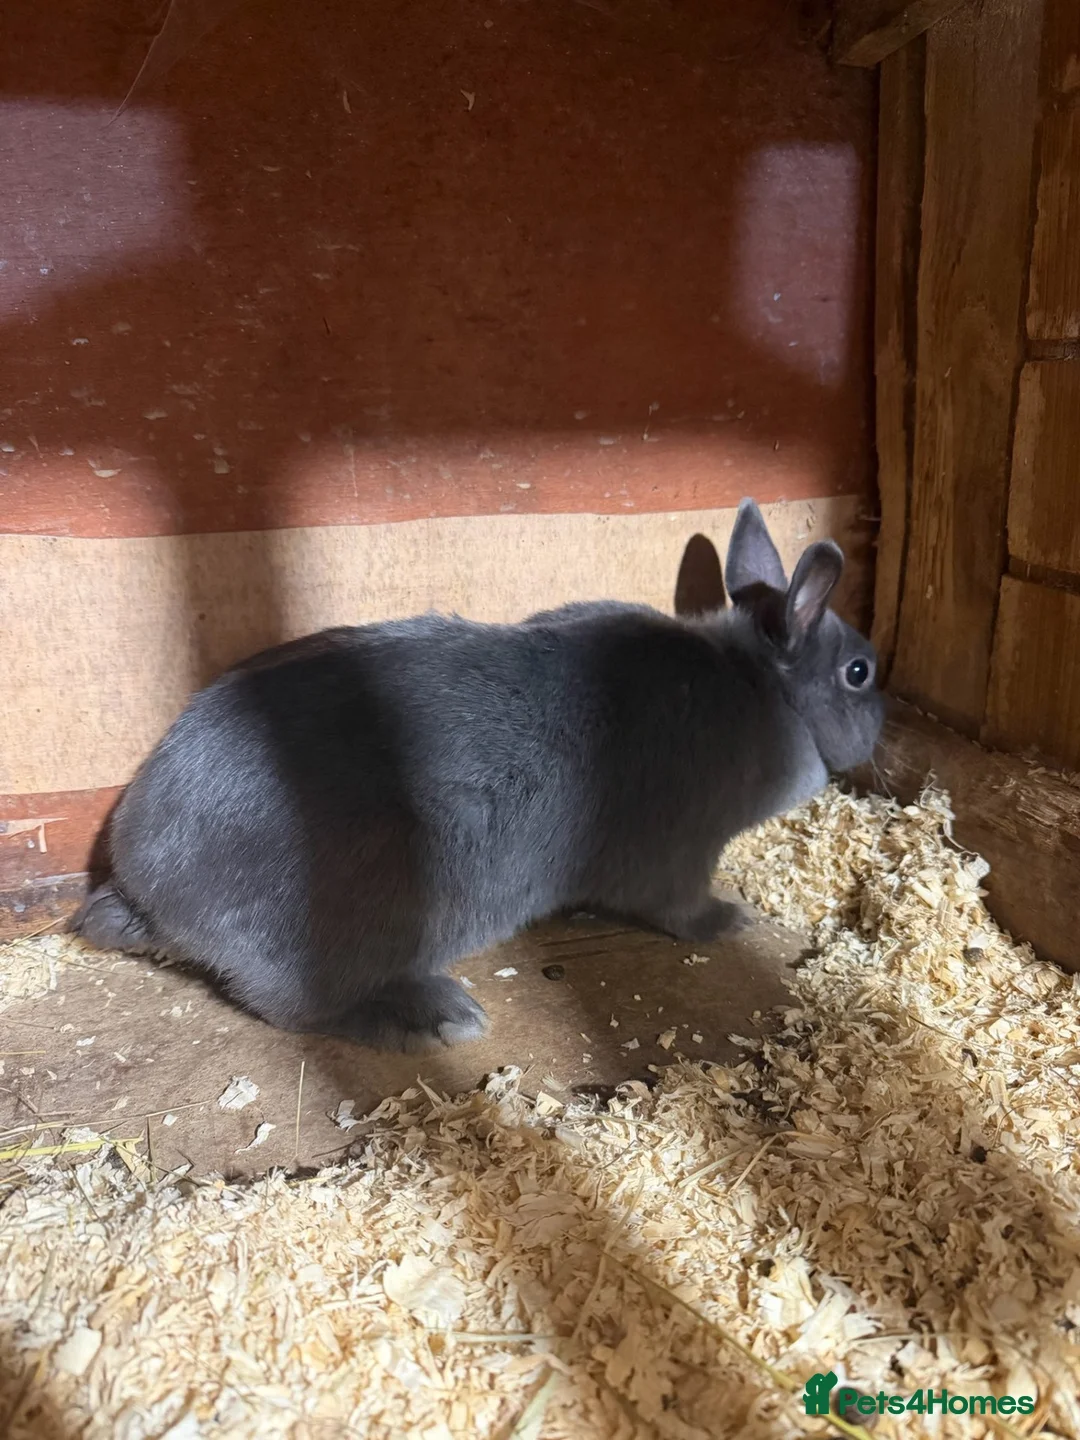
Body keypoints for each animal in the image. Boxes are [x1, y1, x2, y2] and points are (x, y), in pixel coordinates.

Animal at [72, 498, 883, 1052]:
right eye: (859, 672)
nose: (884, 729)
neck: (762, 685)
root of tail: (148, 886)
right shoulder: (681, 855)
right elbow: (678, 909)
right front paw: (730, 921)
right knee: (296, 1008)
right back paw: (439, 1017)